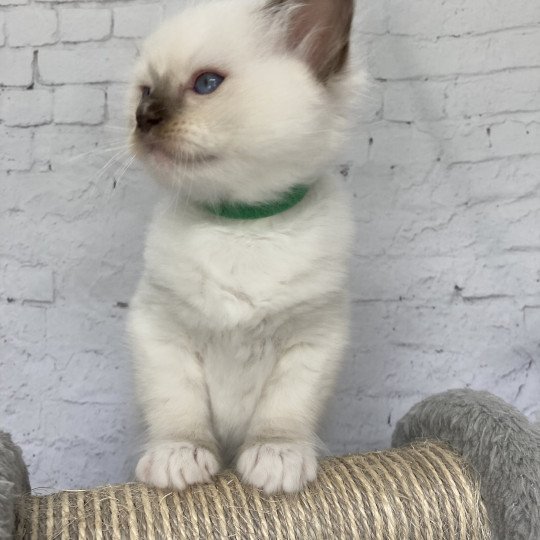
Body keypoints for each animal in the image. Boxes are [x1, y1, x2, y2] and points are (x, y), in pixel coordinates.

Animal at [127, 0, 358, 494]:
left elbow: (283, 414)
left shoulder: (312, 341)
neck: (242, 226)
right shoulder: (160, 333)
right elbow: (179, 411)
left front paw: (277, 460)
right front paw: (180, 458)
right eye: (144, 92)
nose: (144, 117)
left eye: (206, 84)